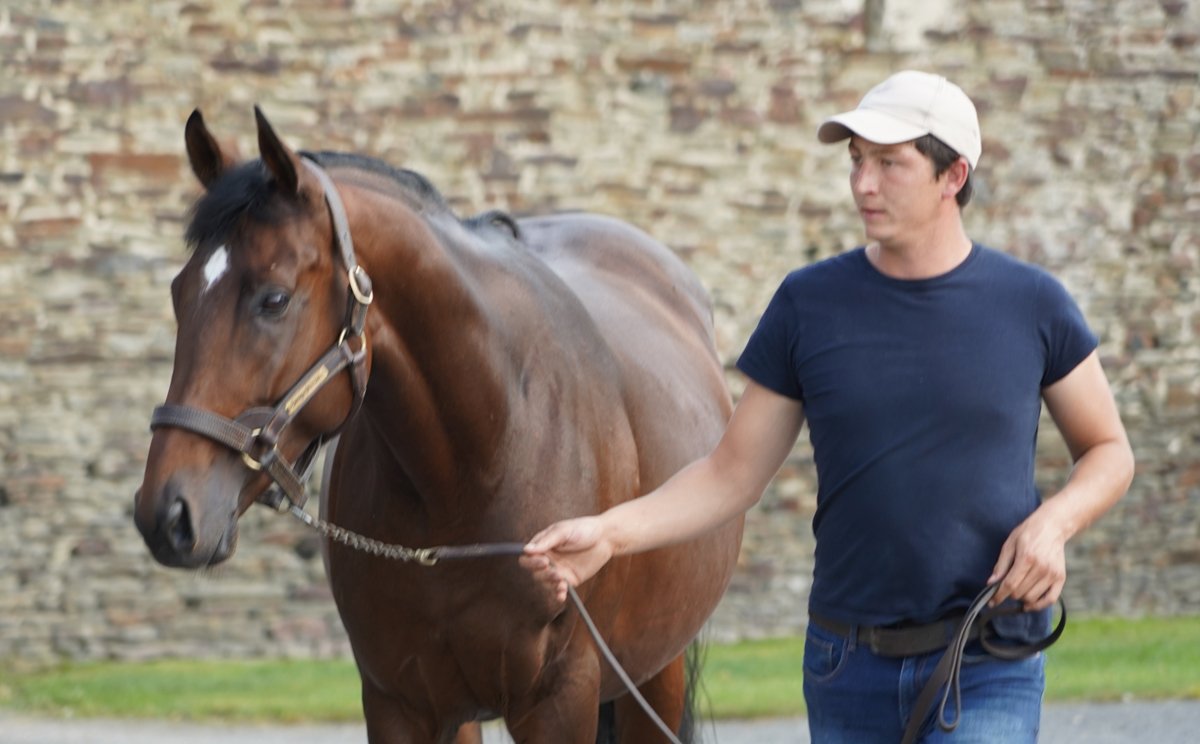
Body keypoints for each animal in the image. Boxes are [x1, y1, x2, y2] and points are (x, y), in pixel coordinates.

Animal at [133, 107, 743, 743]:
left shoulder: (561, 699)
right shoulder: (400, 704)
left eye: (273, 299)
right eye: (179, 292)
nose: (168, 515)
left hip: (654, 672)